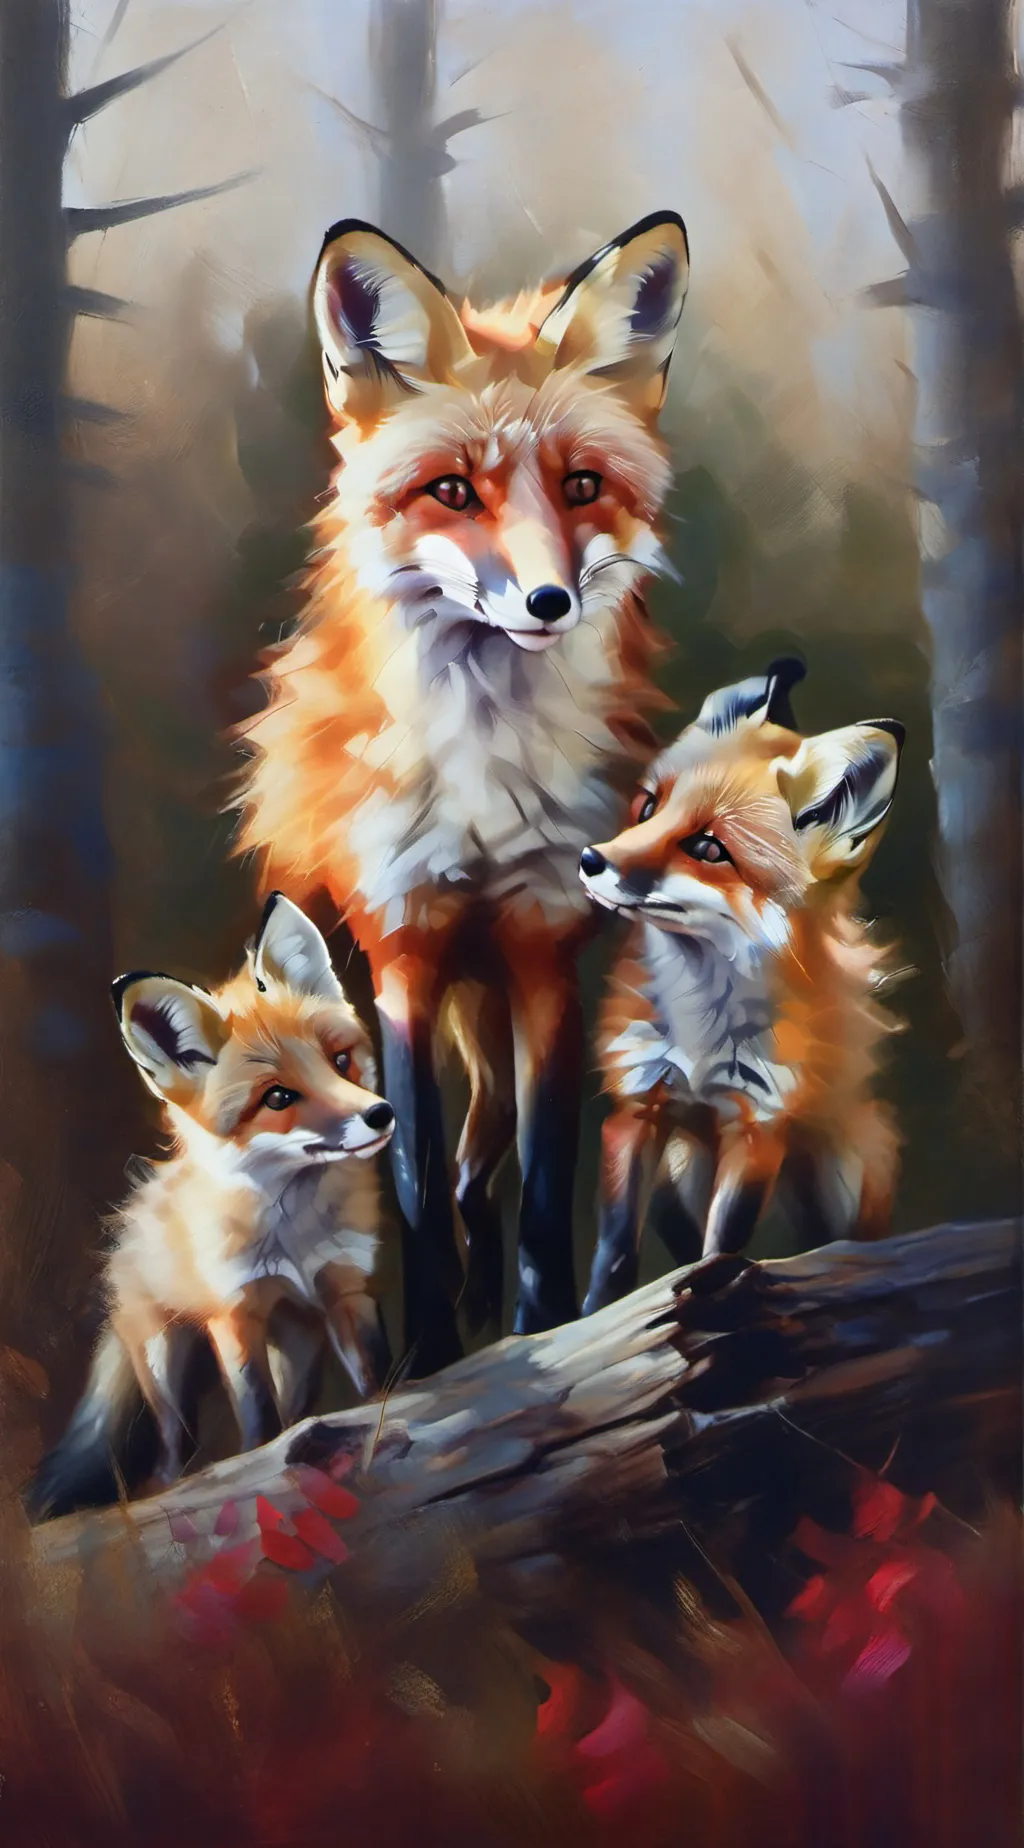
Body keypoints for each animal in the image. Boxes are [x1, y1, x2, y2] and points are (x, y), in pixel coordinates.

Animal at [26, 894, 395, 1521]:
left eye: (340, 1060)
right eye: (278, 1098)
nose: (380, 1115)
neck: (294, 1231)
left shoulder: (345, 1288)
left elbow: (374, 1384)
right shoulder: (235, 1315)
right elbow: (259, 1418)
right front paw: (261, 1464)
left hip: (297, 1345)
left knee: (297, 1408)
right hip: (164, 1361)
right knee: (170, 1451)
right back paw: (173, 1485)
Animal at [235, 211, 690, 1361]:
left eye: (581, 486)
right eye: (452, 489)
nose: (548, 601)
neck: (487, 772)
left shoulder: (546, 942)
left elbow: (541, 1184)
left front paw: (543, 1328)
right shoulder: (402, 945)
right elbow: (411, 1177)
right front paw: (429, 1357)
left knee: (487, 1157)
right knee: (459, 1162)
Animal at [577, 658, 905, 1312]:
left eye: (708, 847)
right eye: (648, 808)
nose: (591, 859)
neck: (700, 1027)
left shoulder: (758, 1125)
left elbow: (723, 1240)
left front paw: (713, 1297)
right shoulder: (637, 1108)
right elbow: (617, 1247)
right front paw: (595, 1314)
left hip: (843, 1179)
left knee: (839, 1245)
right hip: (679, 1173)